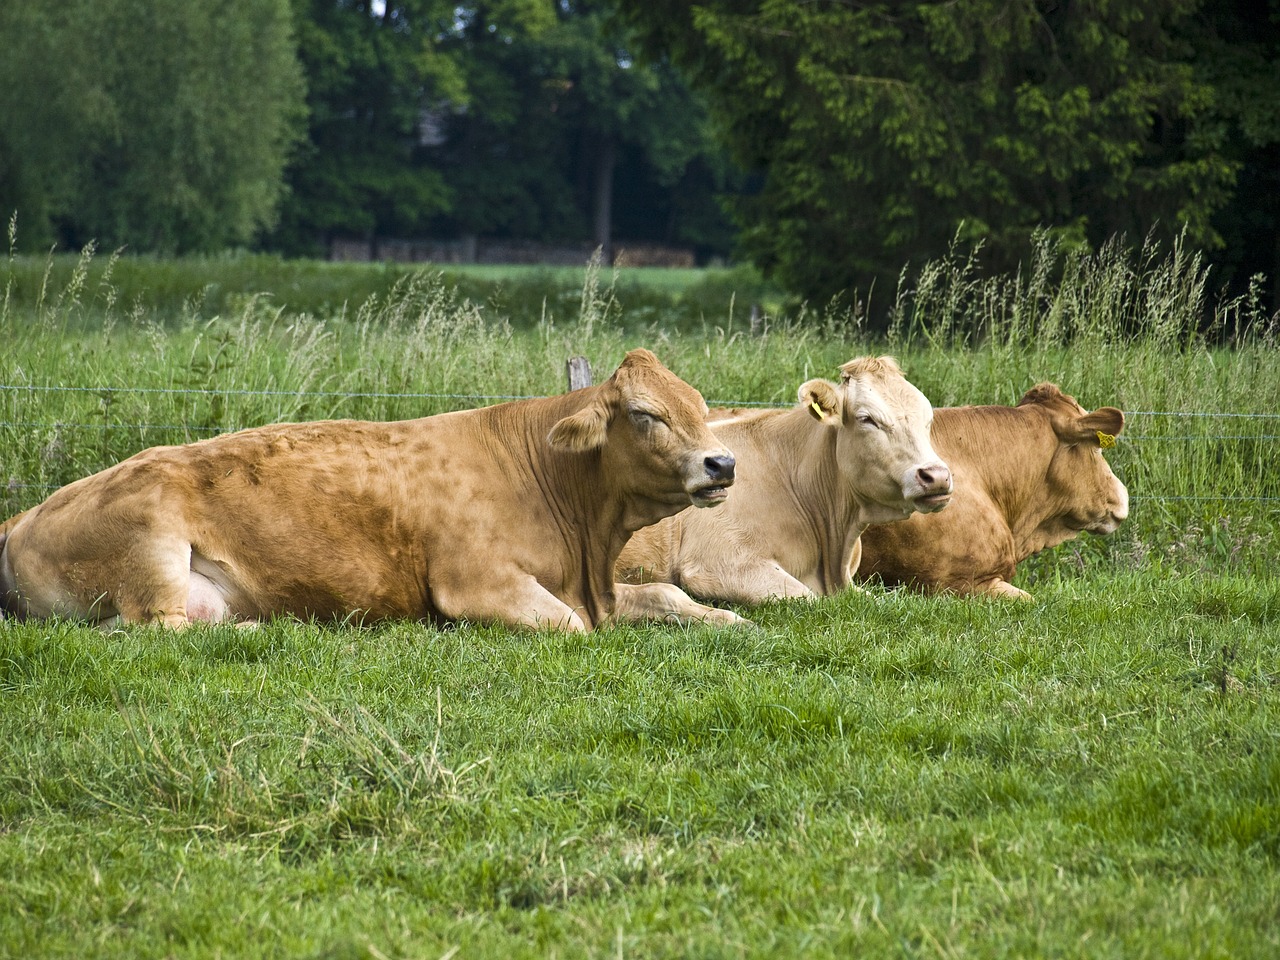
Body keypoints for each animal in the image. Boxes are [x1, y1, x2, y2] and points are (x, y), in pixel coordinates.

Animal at [0, 350, 737, 634]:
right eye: (645, 414)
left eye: (702, 407)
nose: (723, 462)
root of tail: (25, 515)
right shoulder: (478, 584)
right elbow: (571, 625)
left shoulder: (600, 589)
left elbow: (669, 597)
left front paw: (733, 623)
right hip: (151, 547)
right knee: (146, 628)